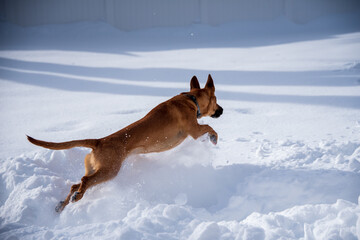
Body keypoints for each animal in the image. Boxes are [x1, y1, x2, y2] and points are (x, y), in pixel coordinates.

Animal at [28, 74, 224, 212]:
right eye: (216, 100)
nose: (222, 110)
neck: (191, 100)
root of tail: (99, 142)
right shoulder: (194, 130)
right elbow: (210, 128)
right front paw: (213, 139)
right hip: (109, 170)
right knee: (84, 181)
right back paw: (77, 197)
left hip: (95, 168)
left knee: (75, 184)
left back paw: (62, 204)